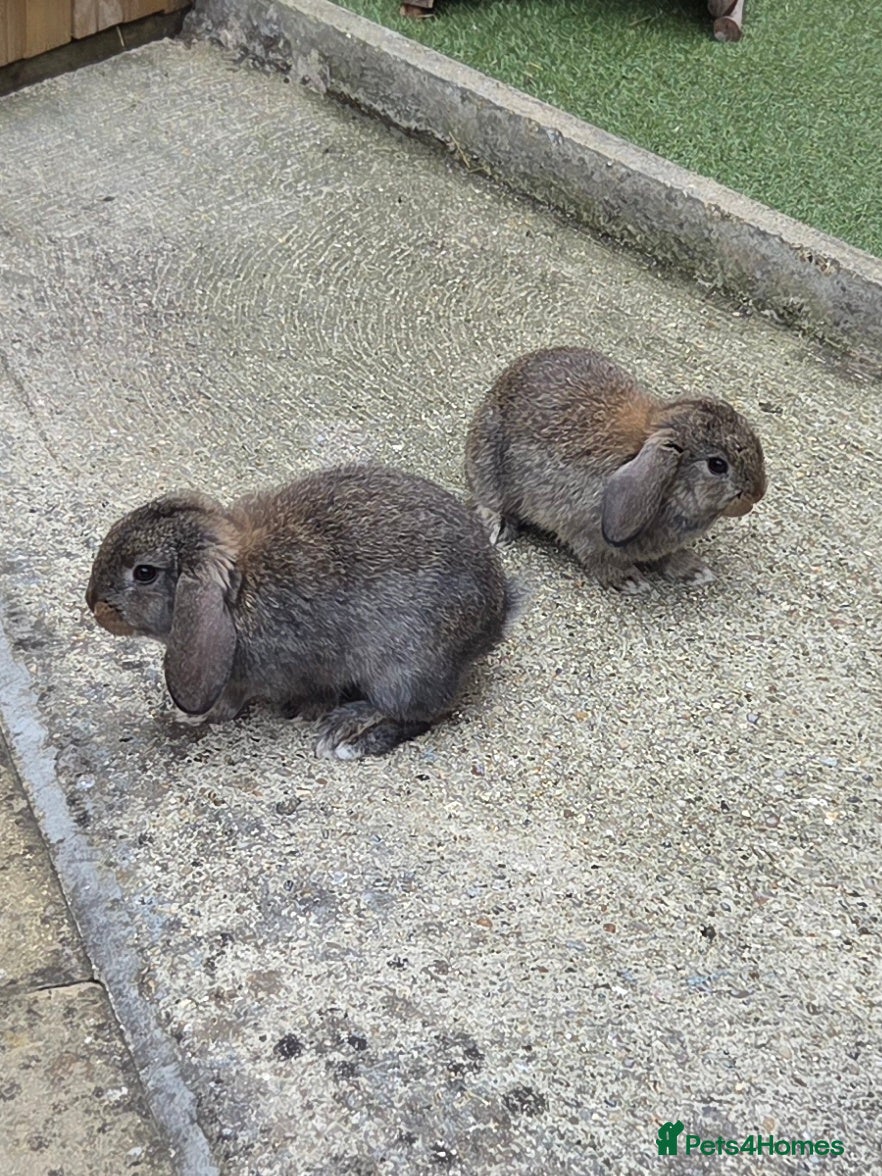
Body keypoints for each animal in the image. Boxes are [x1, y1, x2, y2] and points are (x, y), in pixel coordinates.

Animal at [86, 464, 519, 760]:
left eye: (144, 572)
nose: (94, 605)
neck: (238, 587)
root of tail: (494, 619)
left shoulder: (247, 675)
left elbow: (229, 702)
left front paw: (191, 719)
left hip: (404, 667)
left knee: (417, 714)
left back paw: (345, 735)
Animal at [465, 346, 766, 594]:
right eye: (717, 465)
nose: (758, 492)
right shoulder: (587, 531)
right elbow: (598, 557)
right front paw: (630, 580)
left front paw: (694, 570)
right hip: (488, 462)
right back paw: (500, 527)